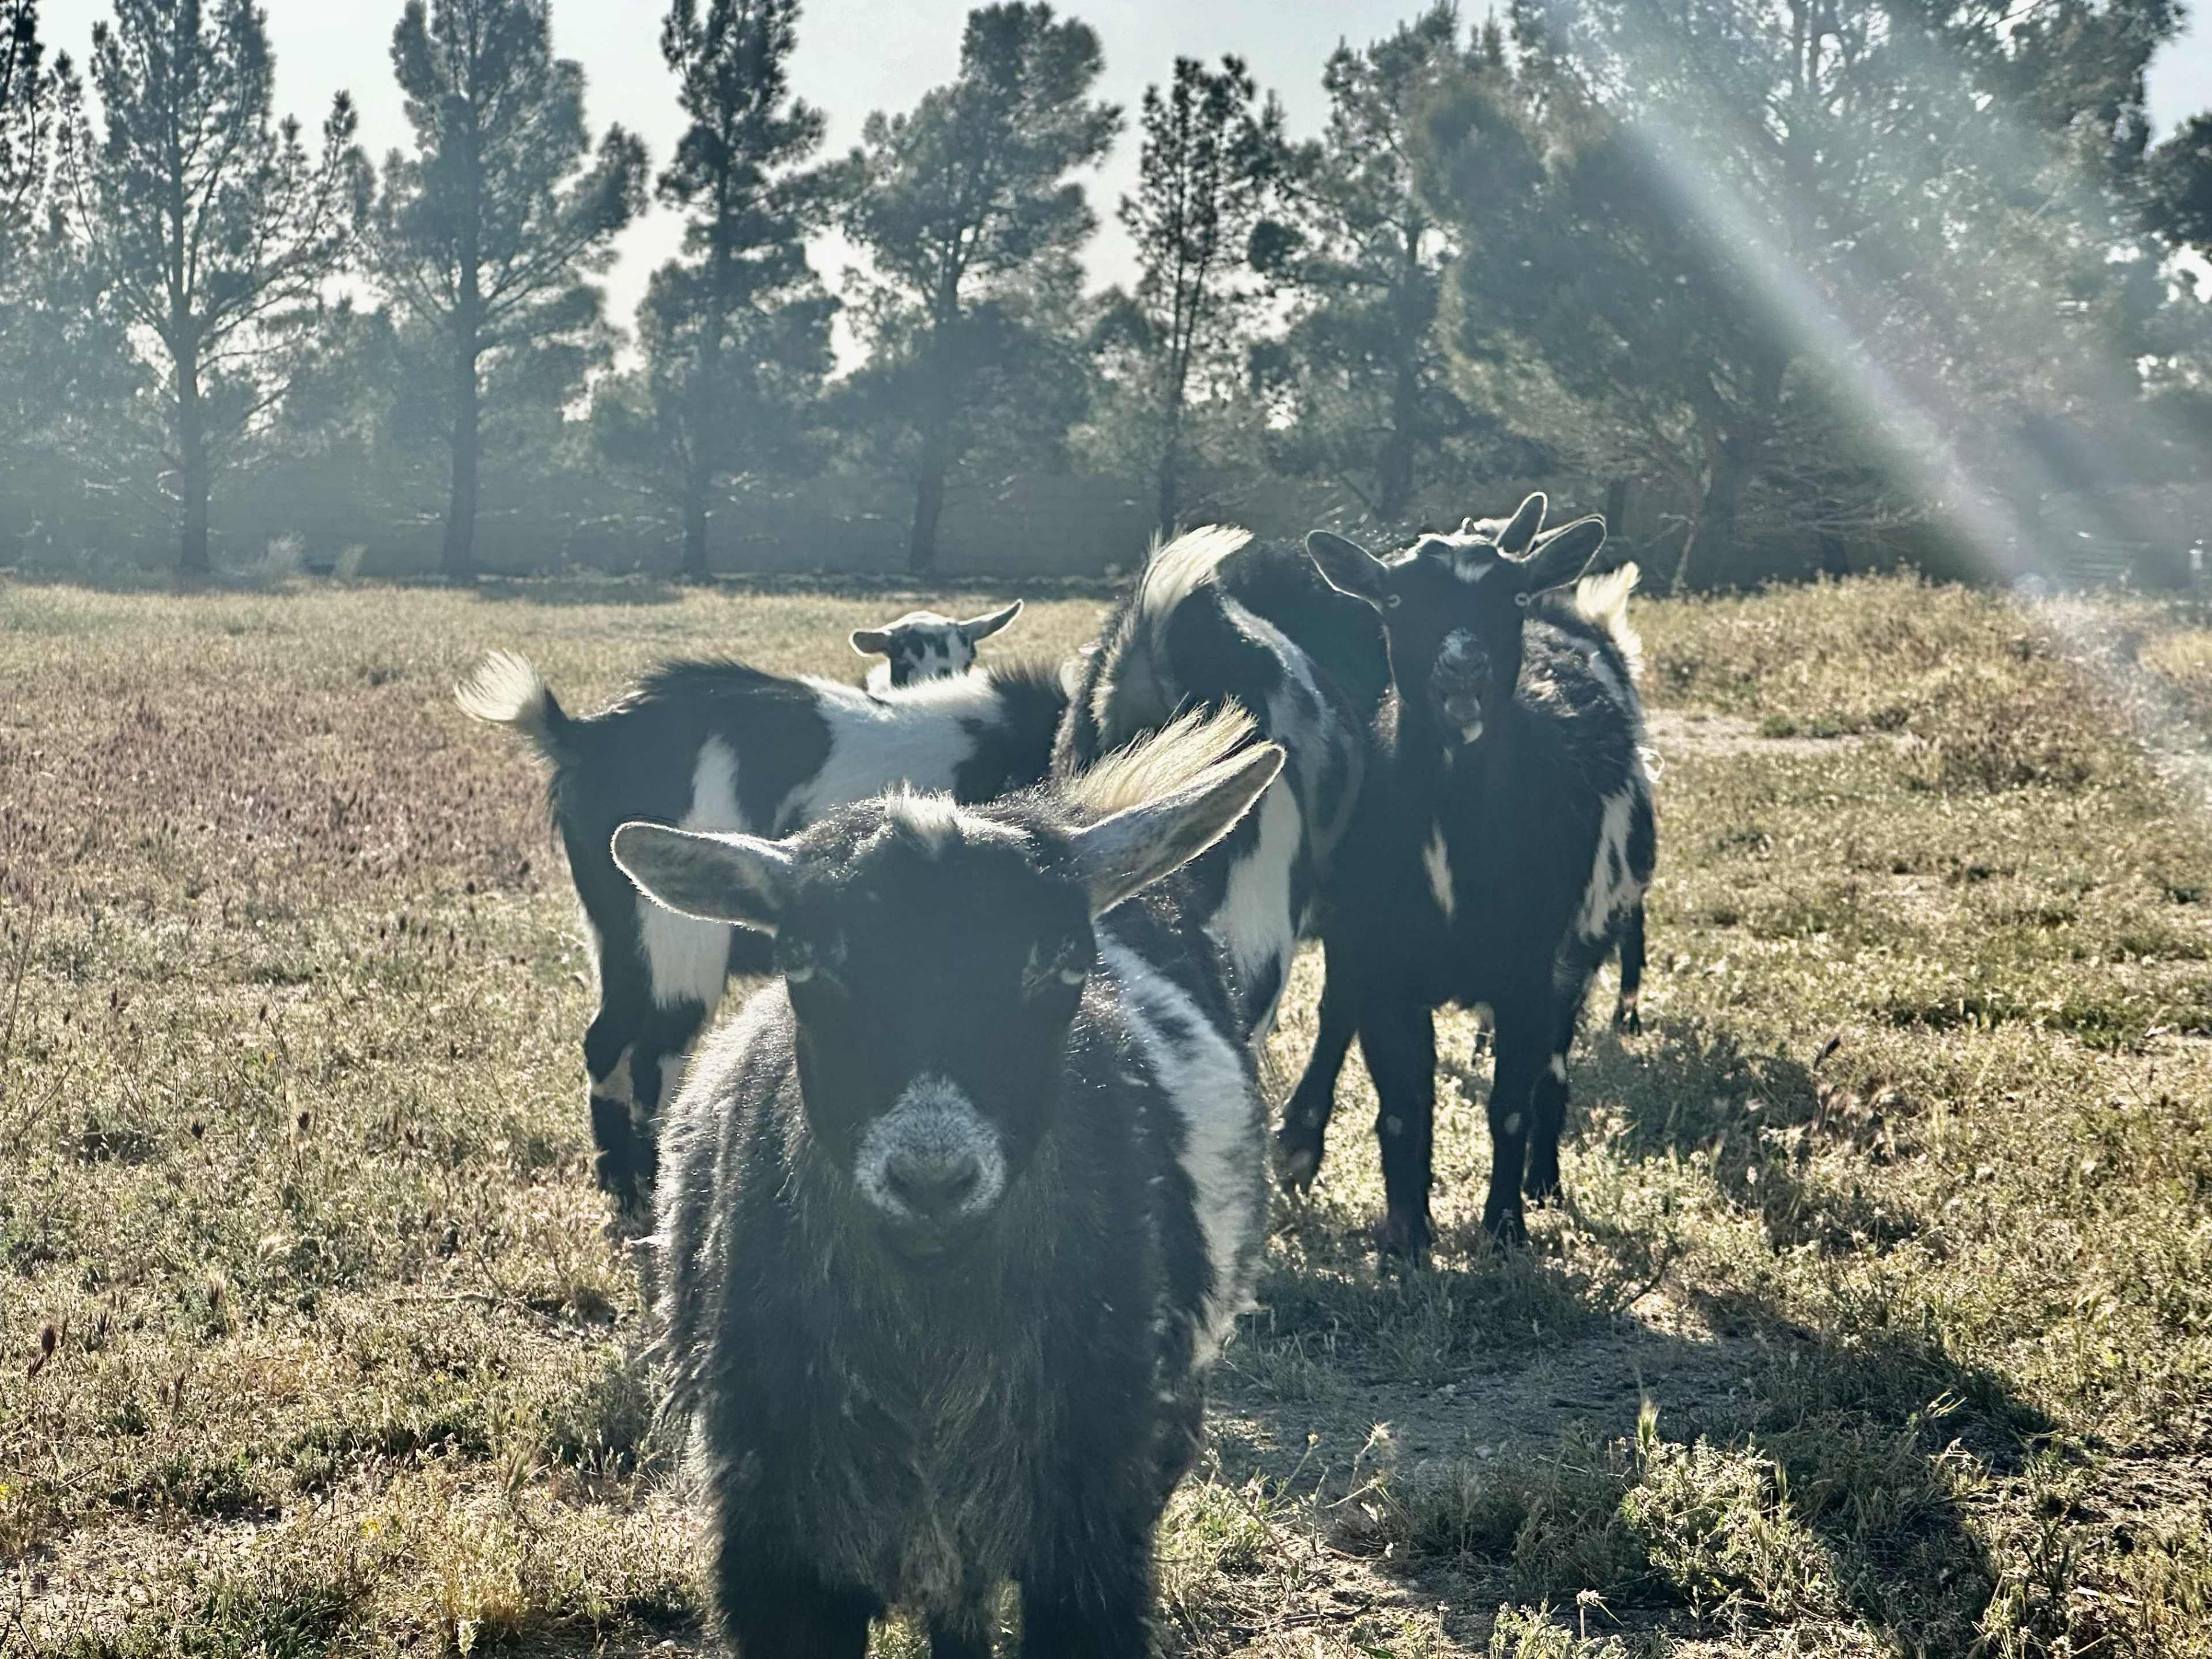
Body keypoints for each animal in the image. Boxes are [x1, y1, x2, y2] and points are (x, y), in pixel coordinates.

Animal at [456, 647, 1068, 1228]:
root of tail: (583, 737)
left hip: (617, 927)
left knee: (606, 1039)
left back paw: (620, 1181)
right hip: (677, 934)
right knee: (656, 1052)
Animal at [1279, 495, 1656, 1254]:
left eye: (1511, 596)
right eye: (1396, 599)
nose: (1464, 668)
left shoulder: (1527, 971)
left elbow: (1511, 1102)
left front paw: (1505, 1228)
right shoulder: (1386, 968)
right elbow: (1403, 1105)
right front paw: (1405, 1239)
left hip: (1575, 955)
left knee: (1553, 1070)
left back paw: (1544, 1182)